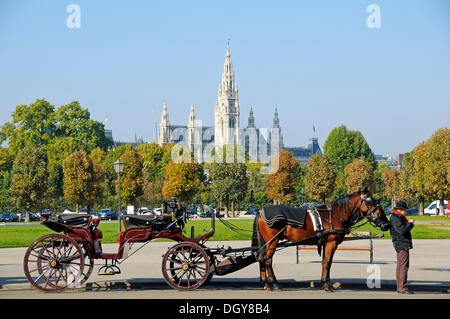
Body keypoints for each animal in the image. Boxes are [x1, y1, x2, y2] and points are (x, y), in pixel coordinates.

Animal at [251, 190, 388, 292]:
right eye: (371, 202)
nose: (386, 224)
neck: (335, 215)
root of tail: (260, 211)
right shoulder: (331, 243)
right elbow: (327, 262)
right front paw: (327, 285)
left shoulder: (326, 243)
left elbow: (325, 262)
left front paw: (326, 283)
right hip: (272, 242)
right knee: (267, 261)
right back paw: (275, 284)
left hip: (267, 243)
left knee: (262, 259)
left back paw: (266, 284)